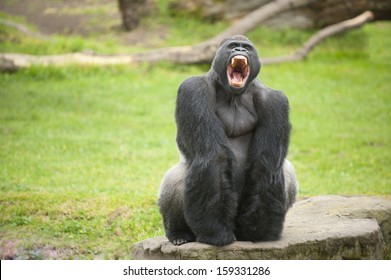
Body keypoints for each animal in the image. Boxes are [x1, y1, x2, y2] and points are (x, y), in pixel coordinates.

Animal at [158, 35, 298, 247]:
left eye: (247, 48)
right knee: (177, 175)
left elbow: (265, 164)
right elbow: (215, 157)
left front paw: (259, 230)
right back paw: (178, 232)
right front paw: (215, 232)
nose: (240, 50)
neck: (234, 95)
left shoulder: (275, 101)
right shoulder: (193, 89)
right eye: (232, 46)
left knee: (286, 170)